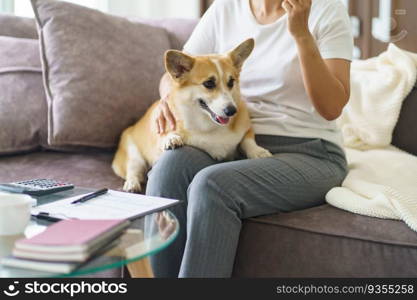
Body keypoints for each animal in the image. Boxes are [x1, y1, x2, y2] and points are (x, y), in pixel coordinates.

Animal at [112, 38, 272, 192]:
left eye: (231, 82)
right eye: (209, 83)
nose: (232, 111)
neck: (209, 126)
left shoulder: (247, 129)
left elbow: (247, 140)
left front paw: (258, 152)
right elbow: (166, 136)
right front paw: (171, 138)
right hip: (133, 155)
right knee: (133, 170)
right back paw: (132, 184)